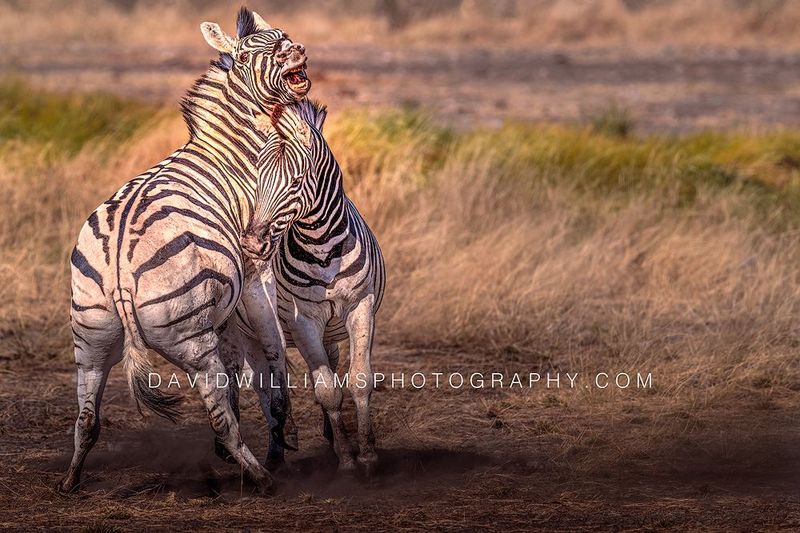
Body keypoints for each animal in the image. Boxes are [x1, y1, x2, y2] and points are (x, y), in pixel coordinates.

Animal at [58, 8, 312, 495]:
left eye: (284, 37)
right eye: (250, 55)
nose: (298, 51)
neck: (238, 152)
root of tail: (119, 265)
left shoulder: (226, 294)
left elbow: (240, 358)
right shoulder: (256, 265)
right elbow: (272, 345)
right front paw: (284, 431)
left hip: (91, 332)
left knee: (85, 416)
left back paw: (71, 480)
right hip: (191, 341)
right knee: (219, 417)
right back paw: (259, 477)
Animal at [241, 99, 386, 473]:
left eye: (295, 181)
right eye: (256, 178)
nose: (252, 244)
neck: (322, 247)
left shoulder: (360, 306)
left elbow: (359, 379)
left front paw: (367, 454)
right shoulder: (303, 320)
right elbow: (327, 391)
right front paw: (347, 459)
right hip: (244, 333)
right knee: (265, 387)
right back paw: (276, 449)